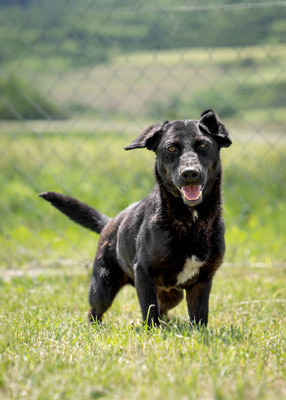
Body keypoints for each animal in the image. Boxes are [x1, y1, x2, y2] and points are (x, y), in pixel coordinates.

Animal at [39, 110, 232, 328]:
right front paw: (153, 332)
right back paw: (94, 327)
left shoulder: (202, 280)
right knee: (94, 310)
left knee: (165, 305)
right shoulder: (144, 273)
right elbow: (149, 310)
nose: (190, 173)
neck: (191, 222)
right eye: (171, 147)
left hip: (172, 294)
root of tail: (110, 222)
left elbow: (199, 317)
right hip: (103, 286)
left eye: (203, 145)